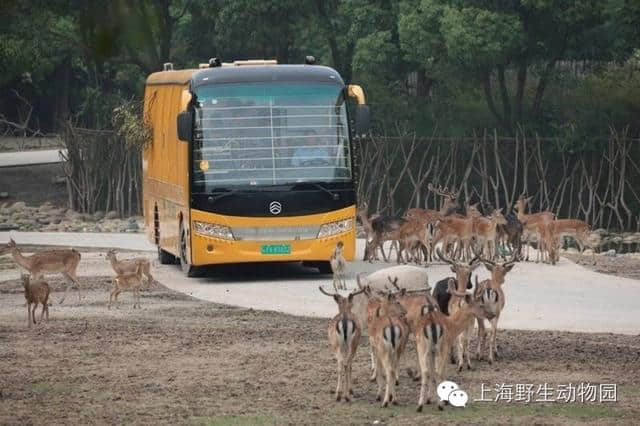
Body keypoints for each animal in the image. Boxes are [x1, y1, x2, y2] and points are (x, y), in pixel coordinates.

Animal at [416, 280, 490, 410]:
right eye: (480, 305)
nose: (489, 314)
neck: (452, 325)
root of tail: (431, 325)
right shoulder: (446, 347)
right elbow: (441, 371)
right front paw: (443, 400)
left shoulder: (432, 352)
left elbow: (431, 372)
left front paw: (428, 399)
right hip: (441, 347)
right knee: (438, 370)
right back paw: (440, 405)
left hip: (422, 347)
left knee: (425, 371)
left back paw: (420, 405)